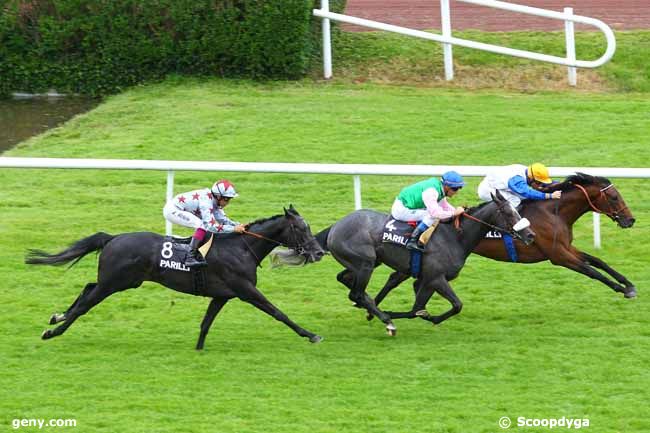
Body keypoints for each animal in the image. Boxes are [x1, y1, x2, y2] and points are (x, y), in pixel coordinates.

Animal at [25, 204, 324, 350]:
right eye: (300, 229)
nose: (319, 251)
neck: (241, 248)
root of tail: (113, 238)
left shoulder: (223, 294)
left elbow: (206, 323)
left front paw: (199, 348)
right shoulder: (245, 290)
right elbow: (278, 312)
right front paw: (310, 335)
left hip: (120, 281)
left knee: (87, 288)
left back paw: (57, 316)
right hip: (114, 283)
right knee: (86, 304)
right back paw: (53, 331)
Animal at [312, 191, 532, 336]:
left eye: (517, 210)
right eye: (509, 213)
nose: (530, 235)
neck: (454, 237)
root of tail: (336, 225)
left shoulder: (425, 280)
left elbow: (416, 309)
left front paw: (424, 315)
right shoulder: (435, 278)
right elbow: (455, 305)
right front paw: (424, 317)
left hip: (367, 262)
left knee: (345, 280)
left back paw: (371, 306)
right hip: (365, 262)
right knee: (355, 292)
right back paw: (386, 320)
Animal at [372, 170, 636, 308]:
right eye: (614, 197)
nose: (630, 220)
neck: (555, 212)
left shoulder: (565, 248)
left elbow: (598, 261)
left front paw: (629, 284)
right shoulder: (558, 255)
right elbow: (590, 270)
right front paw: (621, 289)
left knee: (395, 277)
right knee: (396, 278)